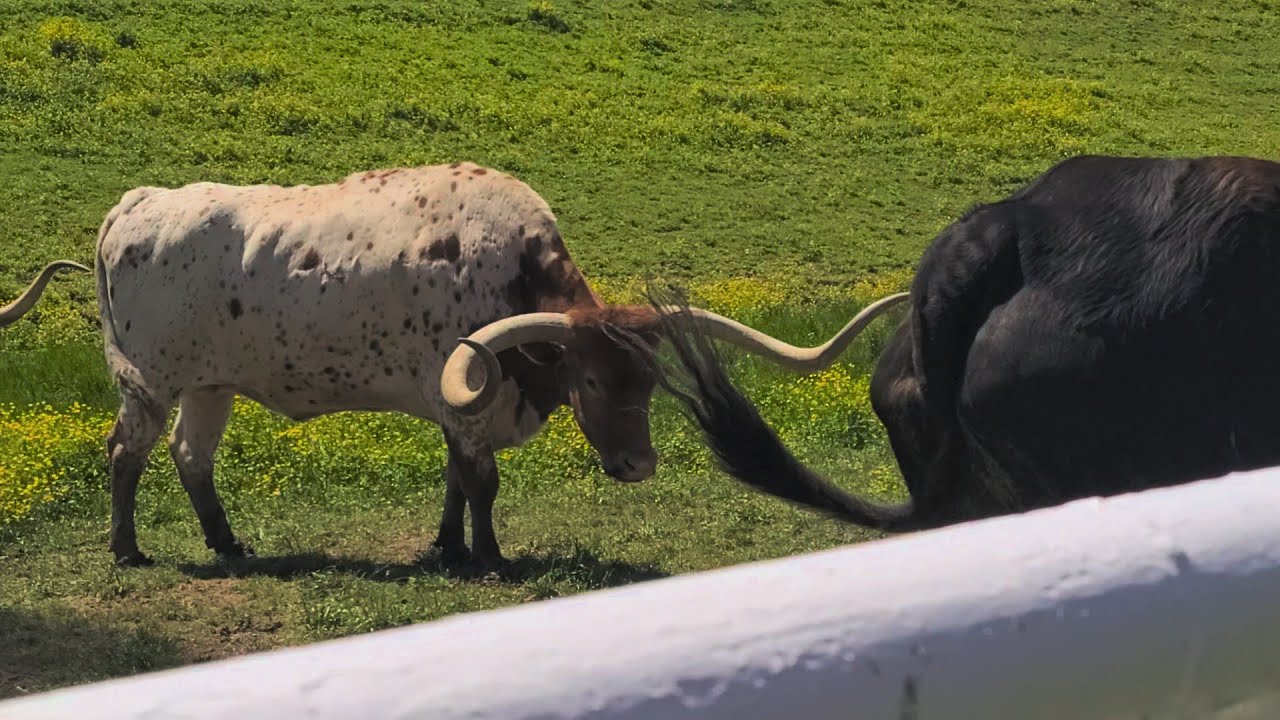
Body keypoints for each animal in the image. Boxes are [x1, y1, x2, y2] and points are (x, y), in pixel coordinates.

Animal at [1, 161, 859, 569]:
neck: (507, 270)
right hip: (149, 380)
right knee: (126, 454)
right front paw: (489, 556)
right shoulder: (467, 399)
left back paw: (227, 541)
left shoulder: (457, 403)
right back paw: (127, 548)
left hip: (210, 384)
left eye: (648, 381)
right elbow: (482, 481)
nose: (637, 467)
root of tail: (138, 203)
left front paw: (447, 546)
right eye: (589, 381)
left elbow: (453, 478)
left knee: (190, 456)